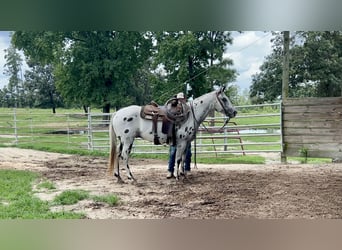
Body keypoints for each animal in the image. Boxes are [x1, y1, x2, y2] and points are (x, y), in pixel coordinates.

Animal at [108, 87, 236, 183]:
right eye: (224, 99)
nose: (234, 112)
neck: (190, 114)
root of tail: (117, 113)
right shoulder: (182, 143)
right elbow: (178, 159)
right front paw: (178, 177)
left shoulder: (187, 143)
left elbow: (183, 159)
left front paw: (183, 175)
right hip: (128, 140)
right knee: (124, 156)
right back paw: (131, 177)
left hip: (122, 140)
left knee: (118, 155)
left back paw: (119, 177)